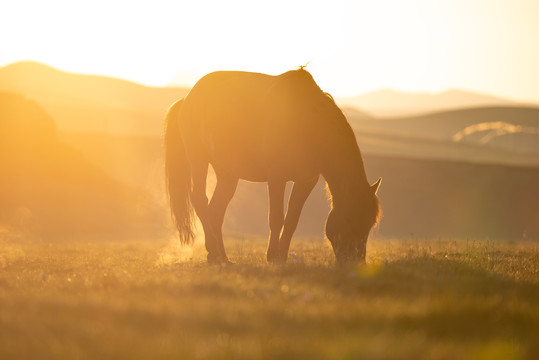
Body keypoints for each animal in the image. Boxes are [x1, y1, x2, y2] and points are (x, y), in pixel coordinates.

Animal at [162, 68, 382, 264]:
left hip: (227, 173)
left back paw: (221, 257)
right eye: (349, 219)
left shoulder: (306, 181)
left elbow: (292, 220)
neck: (305, 121)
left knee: (216, 210)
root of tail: (186, 99)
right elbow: (276, 218)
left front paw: (282, 256)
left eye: (371, 224)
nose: (355, 260)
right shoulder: (276, 178)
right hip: (198, 159)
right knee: (200, 199)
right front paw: (272, 256)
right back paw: (214, 251)